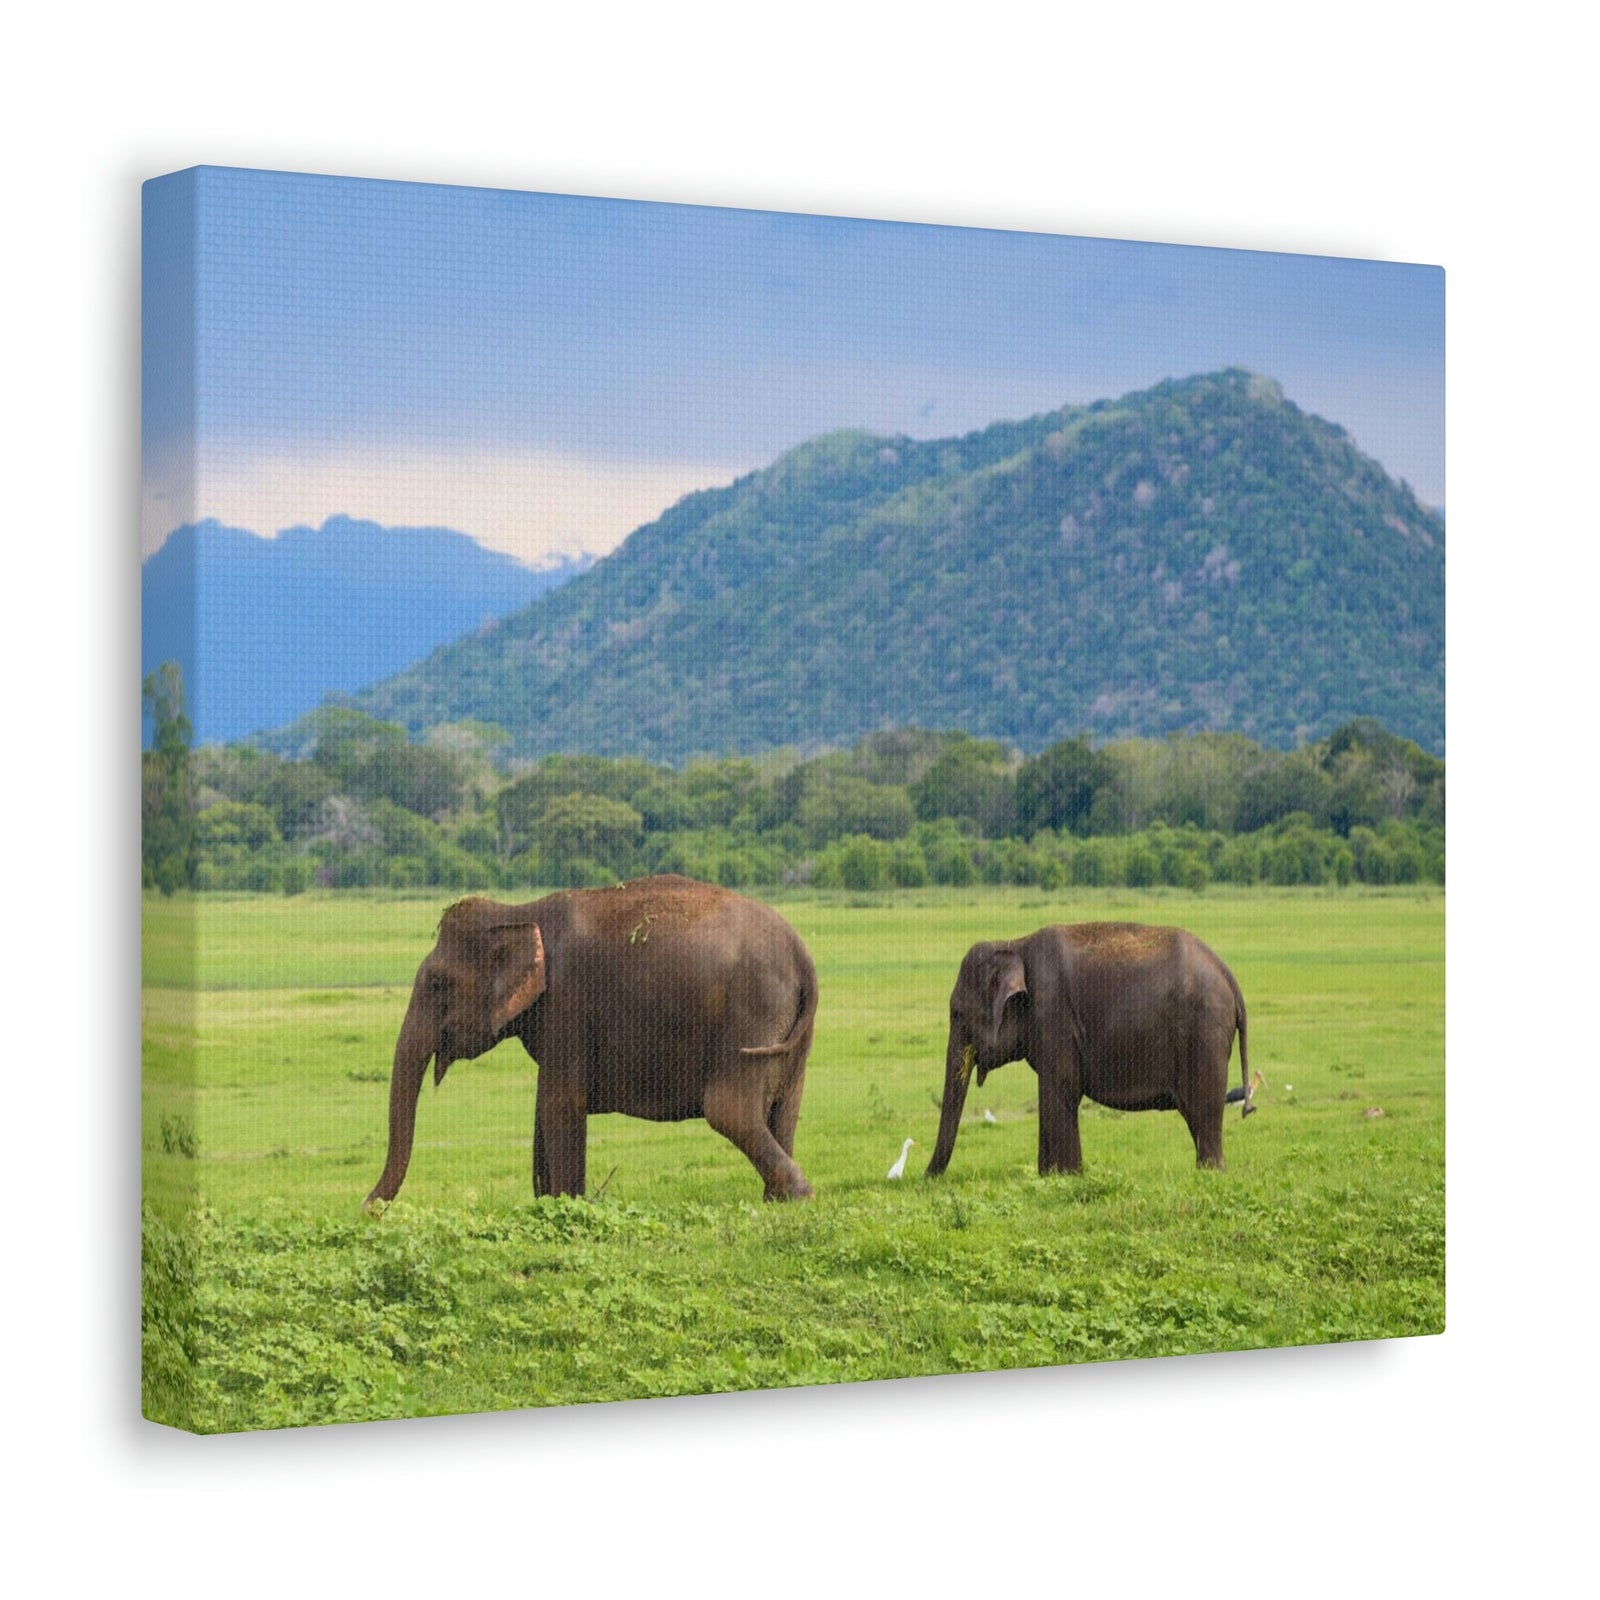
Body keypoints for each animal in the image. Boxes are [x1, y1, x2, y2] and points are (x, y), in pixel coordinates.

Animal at [365, 875, 817, 1206]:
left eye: (438, 983)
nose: (368, 1208)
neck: (520, 912)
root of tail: (801, 952)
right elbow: (543, 1108)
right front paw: (547, 1203)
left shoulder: (567, 1002)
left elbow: (560, 1103)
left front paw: (567, 1204)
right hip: (790, 1030)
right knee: (785, 1109)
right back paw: (775, 1201)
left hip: (751, 1011)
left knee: (729, 1110)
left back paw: (798, 1195)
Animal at [925, 921, 1253, 1179]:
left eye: (957, 1014)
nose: (925, 1179)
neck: (1014, 943)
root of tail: (1230, 977)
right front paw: (1051, 1176)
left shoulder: (1053, 1015)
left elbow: (1061, 1089)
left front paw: (1066, 1177)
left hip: (1204, 1033)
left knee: (1204, 1112)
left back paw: (1211, 1172)